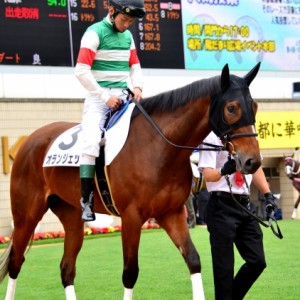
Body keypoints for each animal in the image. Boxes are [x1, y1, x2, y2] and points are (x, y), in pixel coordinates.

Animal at [0, 62, 262, 298]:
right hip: (26, 216)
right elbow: (130, 273)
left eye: (255, 106)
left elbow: (194, 260)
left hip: (71, 215)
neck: (158, 147)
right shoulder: (131, 217)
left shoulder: (172, 213)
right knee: (15, 263)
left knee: (67, 269)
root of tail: (30, 140)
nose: (252, 161)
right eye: (231, 108)